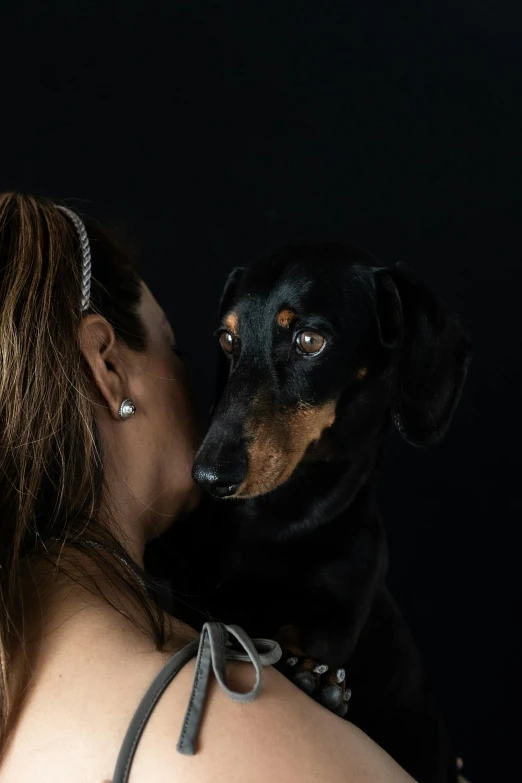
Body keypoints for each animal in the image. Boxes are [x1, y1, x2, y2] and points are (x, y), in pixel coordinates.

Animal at [180, 242, 472, 780]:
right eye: (228, 340)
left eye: (310, 340)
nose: (210, 474)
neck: (278, 527)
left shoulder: (334, 618)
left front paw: (314, 682)